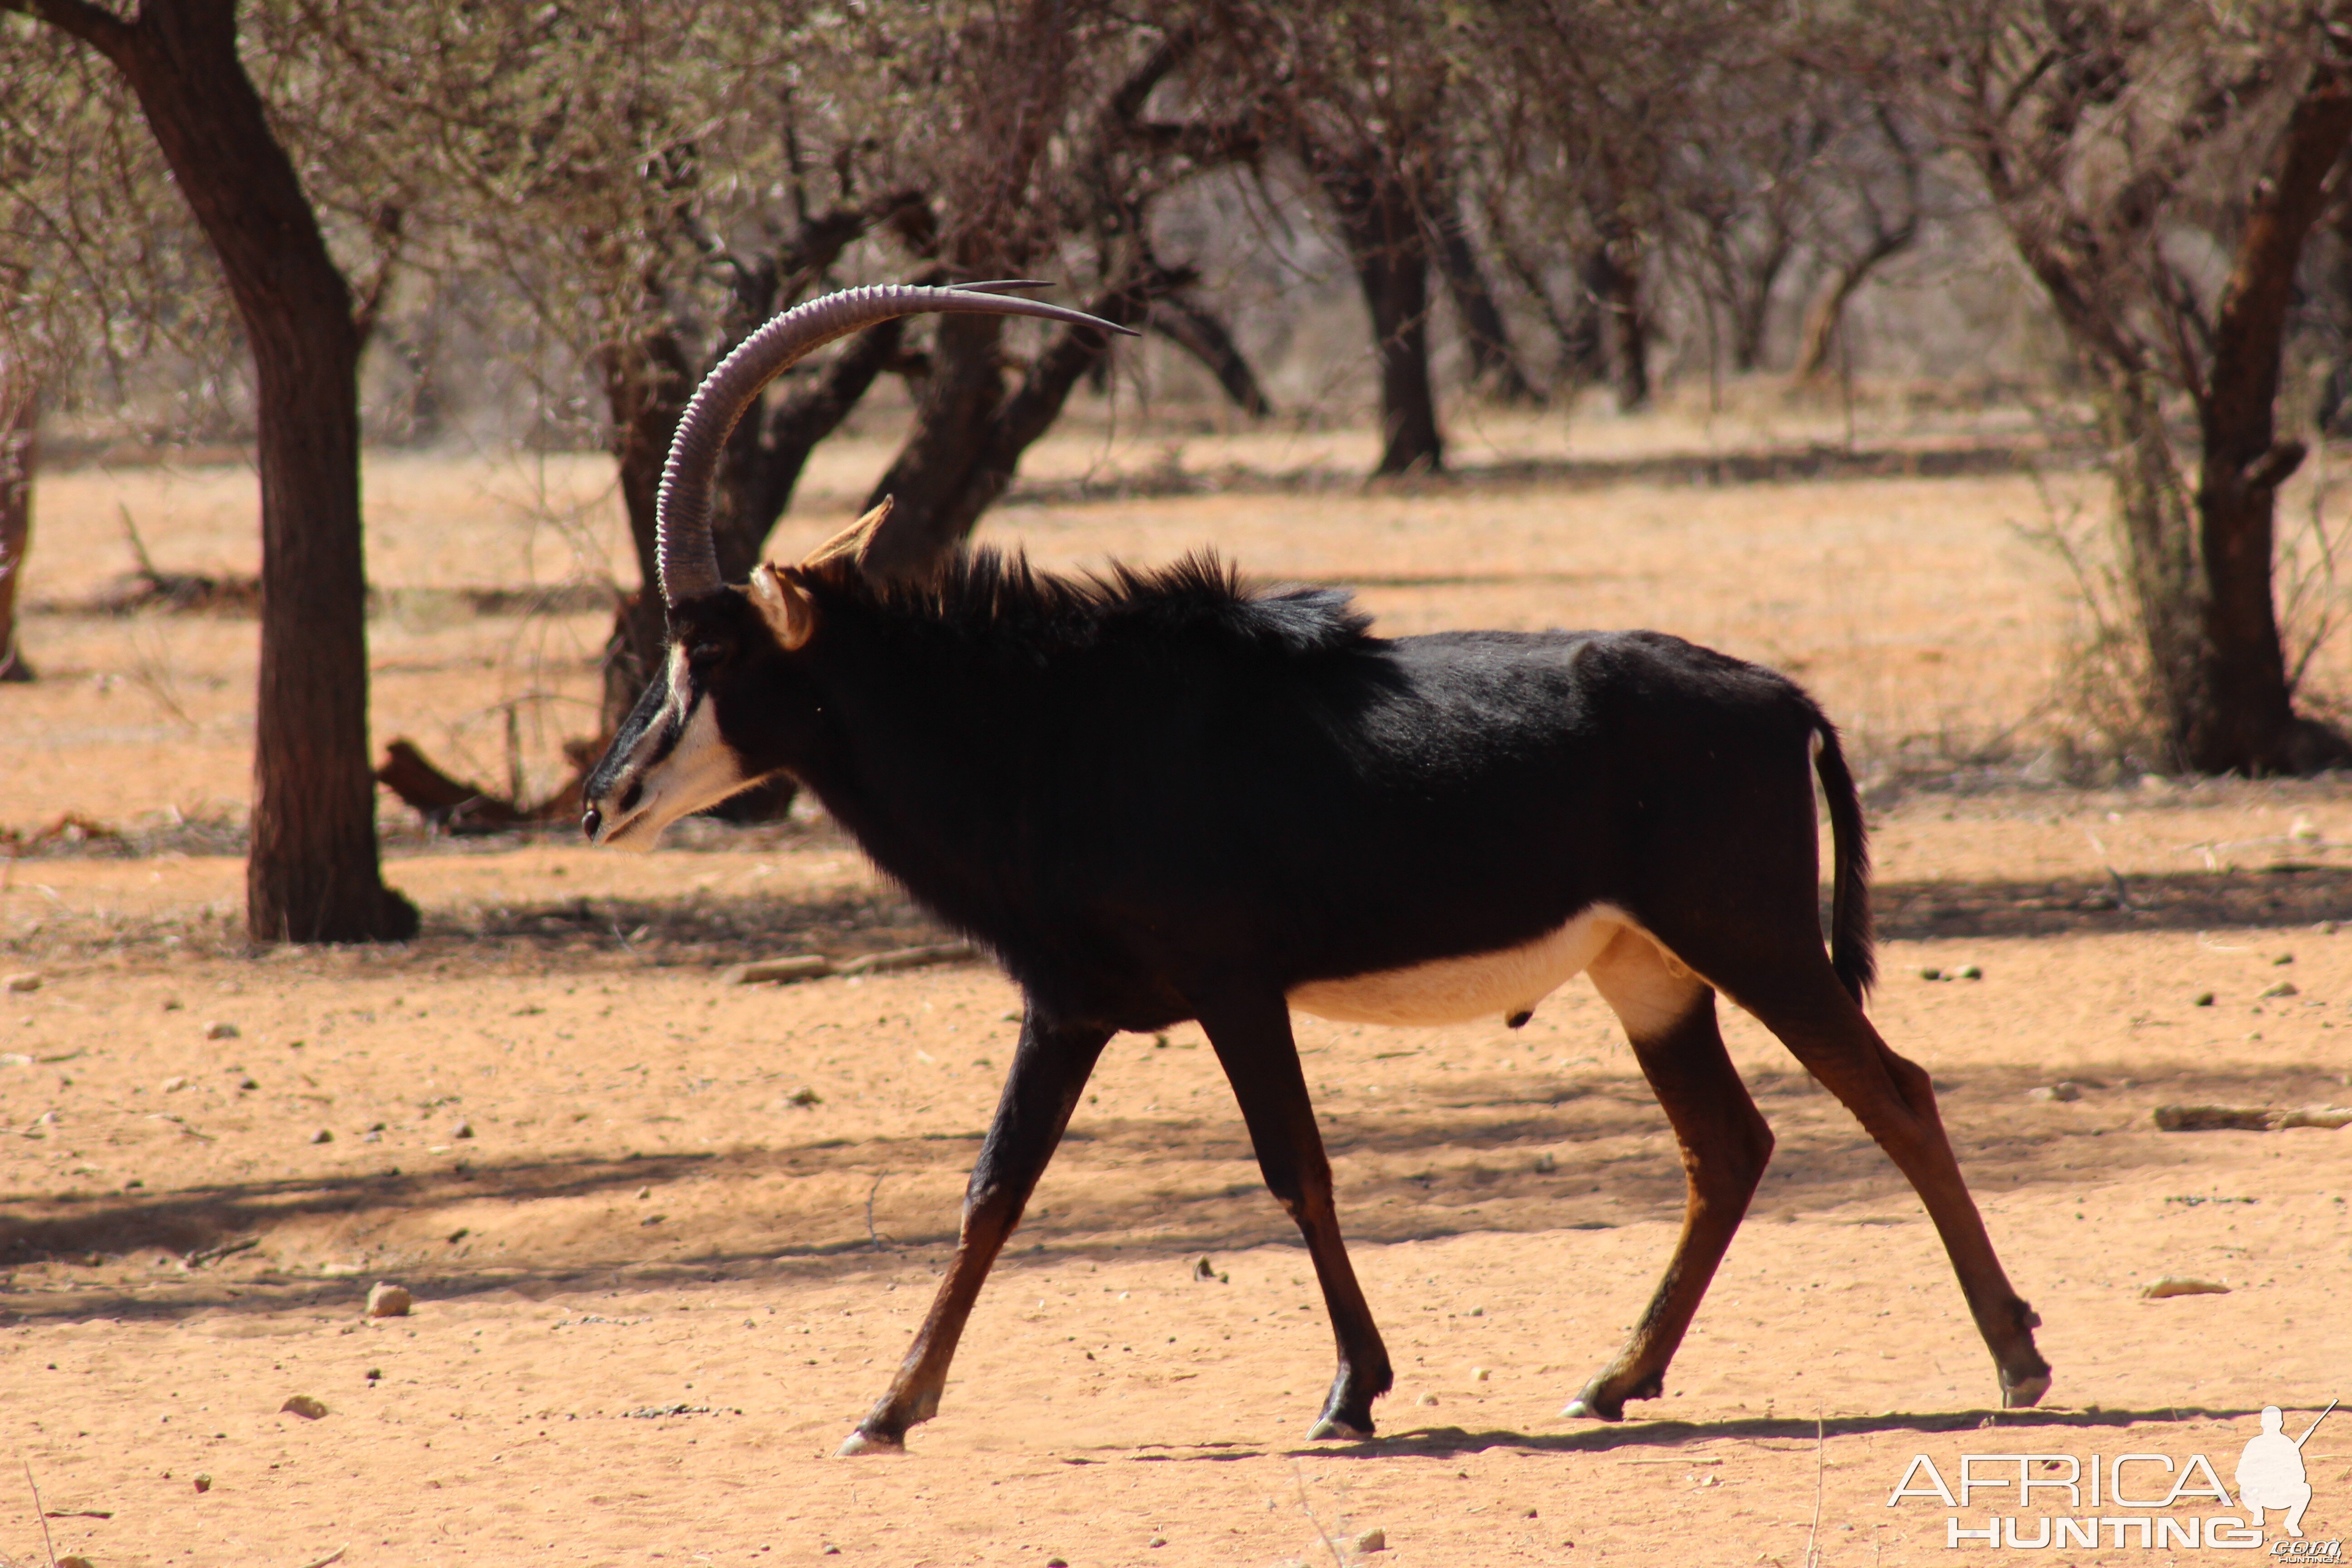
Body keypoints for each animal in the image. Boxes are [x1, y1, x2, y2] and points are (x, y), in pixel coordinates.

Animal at [578, 282, 2051, 1457]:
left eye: (708, 652)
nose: (606, 799)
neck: (1049, 724)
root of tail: (1783, 699)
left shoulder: (1233, 989)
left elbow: (1295, 1166)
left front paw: (1351, 1394)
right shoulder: (1069, 1008)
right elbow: (995, 1187)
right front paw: (886, 1408)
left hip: (1751, 939)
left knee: (1892, 1092)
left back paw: (2016, 1356)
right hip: (1650, 973)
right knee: (1728, 1145)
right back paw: (1611, 1381)